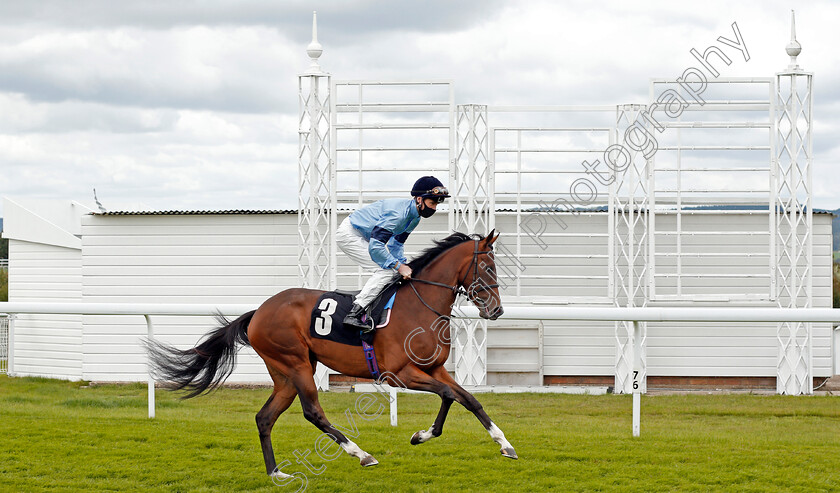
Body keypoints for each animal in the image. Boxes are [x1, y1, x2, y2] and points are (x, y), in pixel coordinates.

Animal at [145, 229, 516, 478]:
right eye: (487, 268)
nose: (496, 310)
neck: (419, 306)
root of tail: (259, 311)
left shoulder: (435, 369)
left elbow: (466, 399)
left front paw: (502, 444)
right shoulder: (400, 374)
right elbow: (449, 396)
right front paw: (423, 435)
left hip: (285, 373)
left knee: (265, 417)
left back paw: (275, 472)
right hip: (295, 364)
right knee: (313, 412)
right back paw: (361, 454)